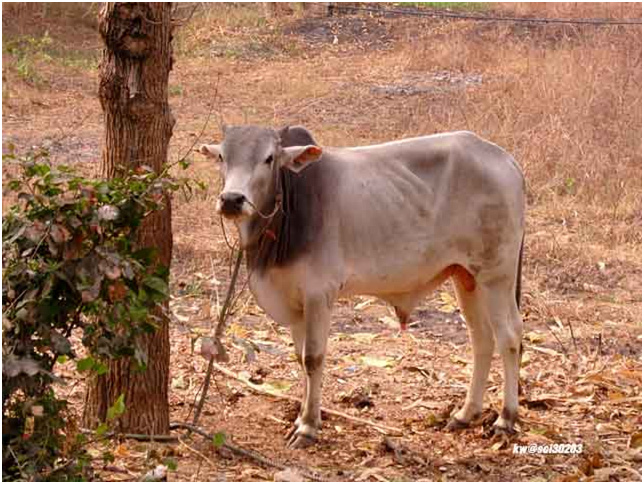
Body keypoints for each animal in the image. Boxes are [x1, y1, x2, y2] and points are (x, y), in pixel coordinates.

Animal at [199, 125, 524, 450]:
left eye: (268, 158)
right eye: (222, 157)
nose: (231, 199)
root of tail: (507, 160)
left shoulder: (319, 295)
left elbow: (313, 359)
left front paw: (308, 426)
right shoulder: (296, 302)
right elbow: (301, 358)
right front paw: (302, 417)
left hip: (497, 277)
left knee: (509, 338)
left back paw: (505, 418)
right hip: (466, 277)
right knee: (482, 340)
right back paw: (465, 414)